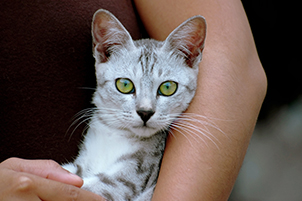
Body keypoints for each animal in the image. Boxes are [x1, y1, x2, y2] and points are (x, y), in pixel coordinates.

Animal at [62, 8, 206, 200]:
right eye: (124, 85)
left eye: (168, 87)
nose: (145, 112)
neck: (114, 133)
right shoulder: (84, 163)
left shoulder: (129, 179)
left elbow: (92, 187)